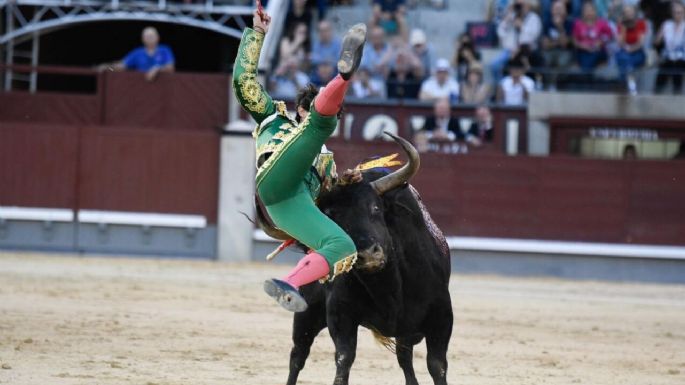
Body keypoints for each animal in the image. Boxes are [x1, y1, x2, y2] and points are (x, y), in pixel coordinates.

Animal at [260, 134, 452, 382]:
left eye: (376, 208)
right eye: (332, 219)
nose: (367, 253)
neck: (387, 285)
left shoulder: (442, 316)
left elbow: (436, 365)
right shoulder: (341, 314)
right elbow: (344, 359)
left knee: (404, 359)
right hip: (307, 313)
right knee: (298, 356)